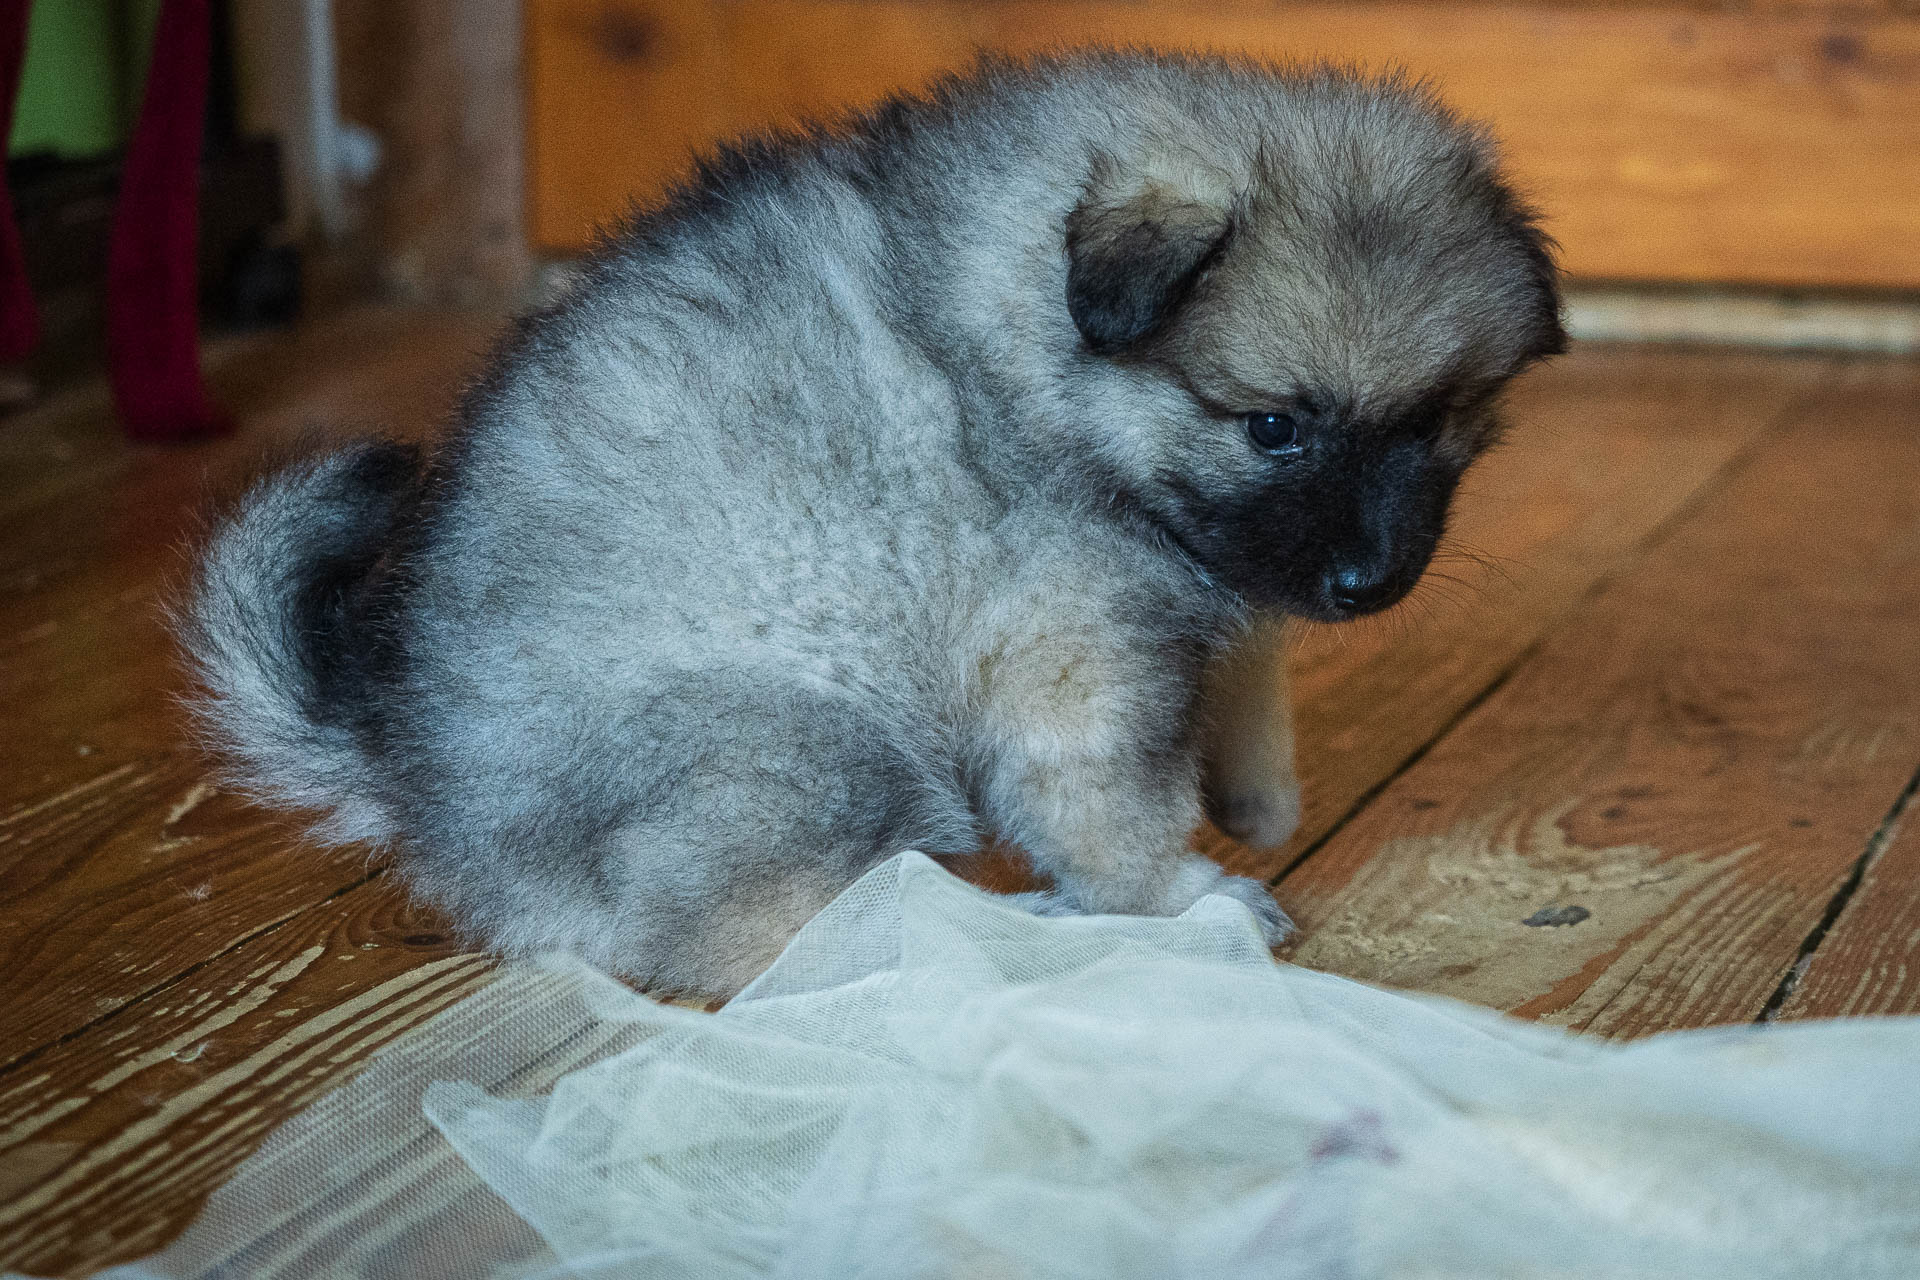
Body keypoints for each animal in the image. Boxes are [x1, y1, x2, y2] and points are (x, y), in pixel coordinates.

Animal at [176, 52, 1559, 997]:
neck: (1036, 347)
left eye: (1440, 423)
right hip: (807, 748)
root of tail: (407, 770)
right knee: (755, 934)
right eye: (1275, 425)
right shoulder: (1072, 650)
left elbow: (1240, 666)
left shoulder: (1189, 589)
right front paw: (1181, 896)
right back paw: (981, 928)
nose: (1370, 581)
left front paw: (1260, 790)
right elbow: (1111, 803)